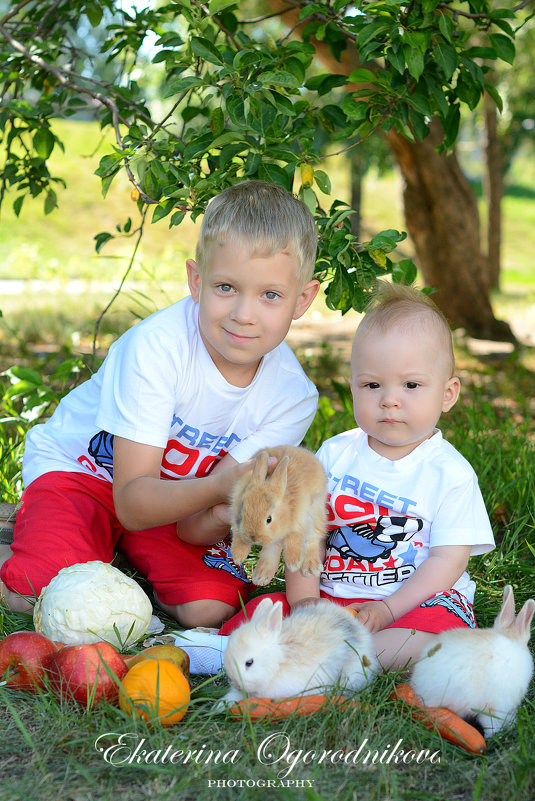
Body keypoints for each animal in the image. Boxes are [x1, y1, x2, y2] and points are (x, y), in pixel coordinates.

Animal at [229, 446, 328, 584]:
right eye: (242, 514)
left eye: (269, 519)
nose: (254, 538)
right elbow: (239, 537)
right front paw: (238, 556)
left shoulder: (300, 520)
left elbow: (294, 539)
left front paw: (293, 563)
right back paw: (260, 577)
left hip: (317, 513)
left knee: (313, 538)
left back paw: (311, 568)